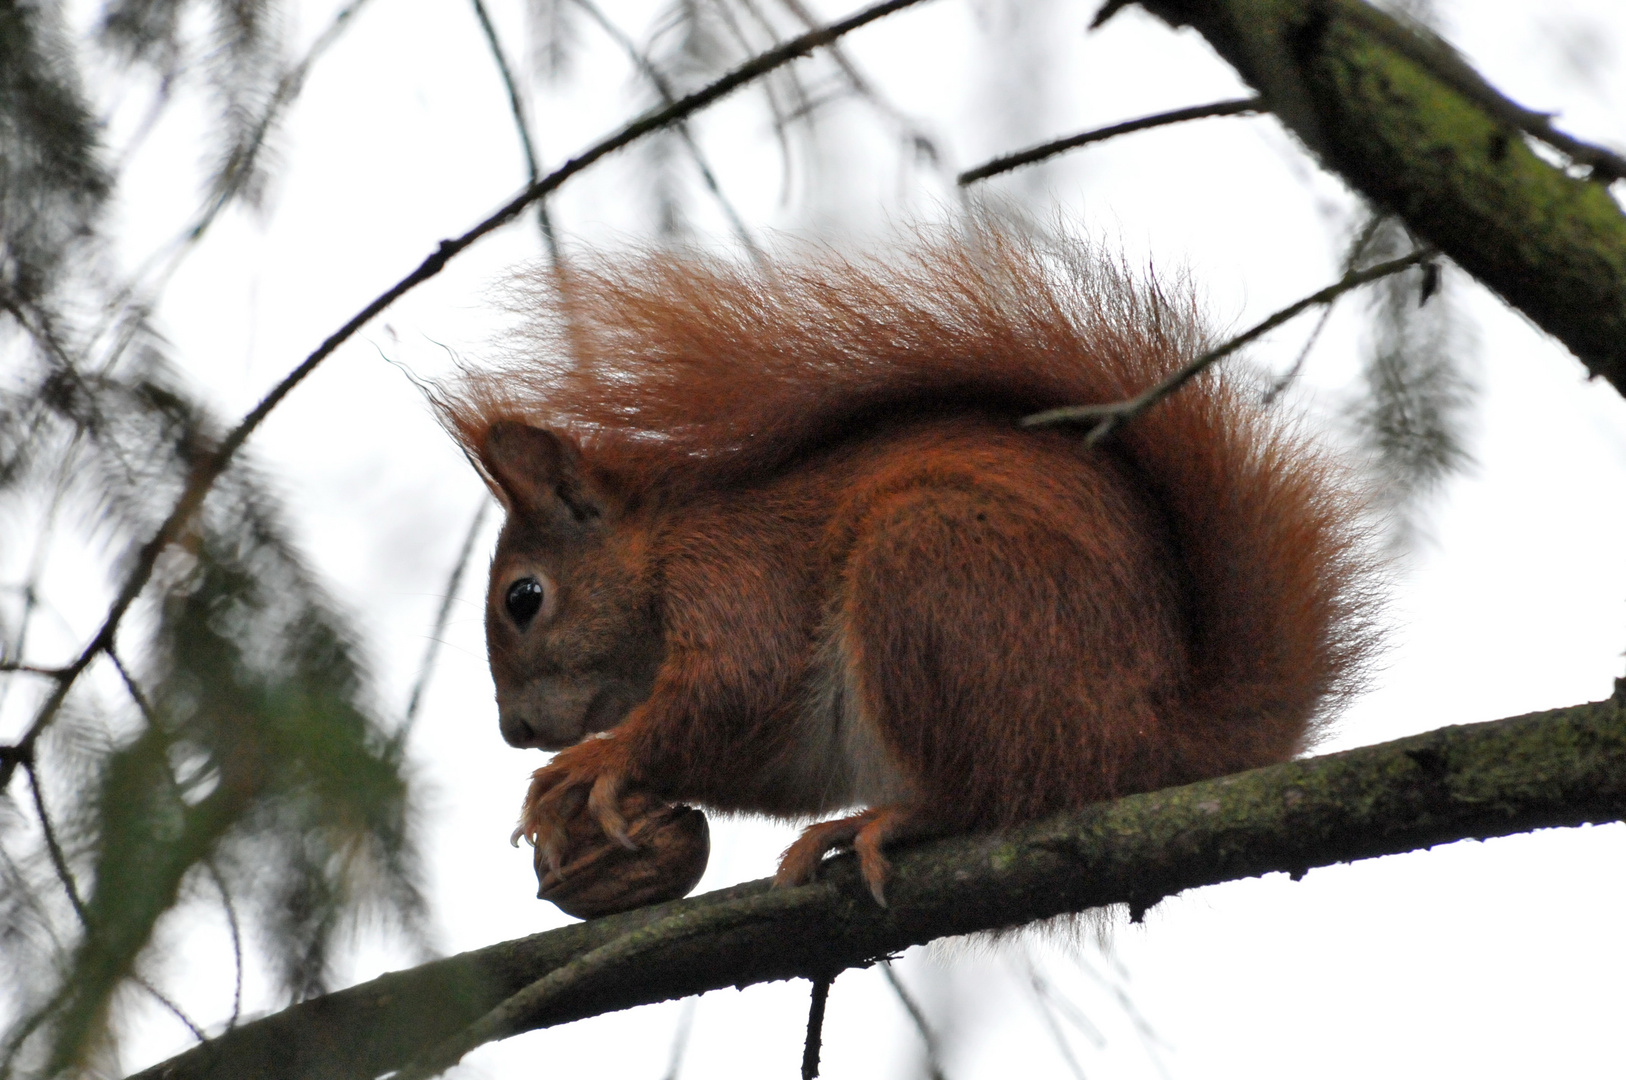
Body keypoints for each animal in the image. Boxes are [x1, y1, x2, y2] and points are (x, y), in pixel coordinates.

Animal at [439, 232, 1378, 904]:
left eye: (524, 598)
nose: (513, 730)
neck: (661, 550)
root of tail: (1161, 736)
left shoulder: (735, 580)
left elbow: (739, 687)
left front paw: (588, 766)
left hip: (930, 571)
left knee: (1000, 793)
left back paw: (885, 823)